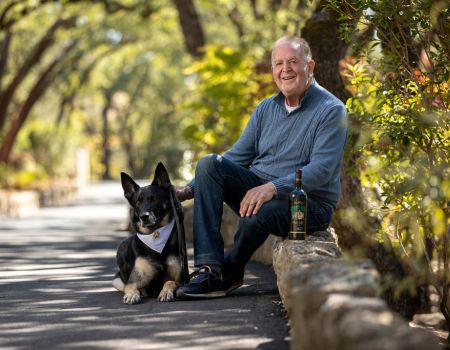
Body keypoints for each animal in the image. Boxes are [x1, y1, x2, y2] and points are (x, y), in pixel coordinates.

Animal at [112, 164, 183, 304]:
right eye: (138, 202)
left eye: (154, 199)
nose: (144, 217)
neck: (156, 238)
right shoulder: (133, 281)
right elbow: (131, 287)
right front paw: (132, 295)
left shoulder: (180, 280)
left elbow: (170, 282)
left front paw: (165, 292)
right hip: (117, 279)